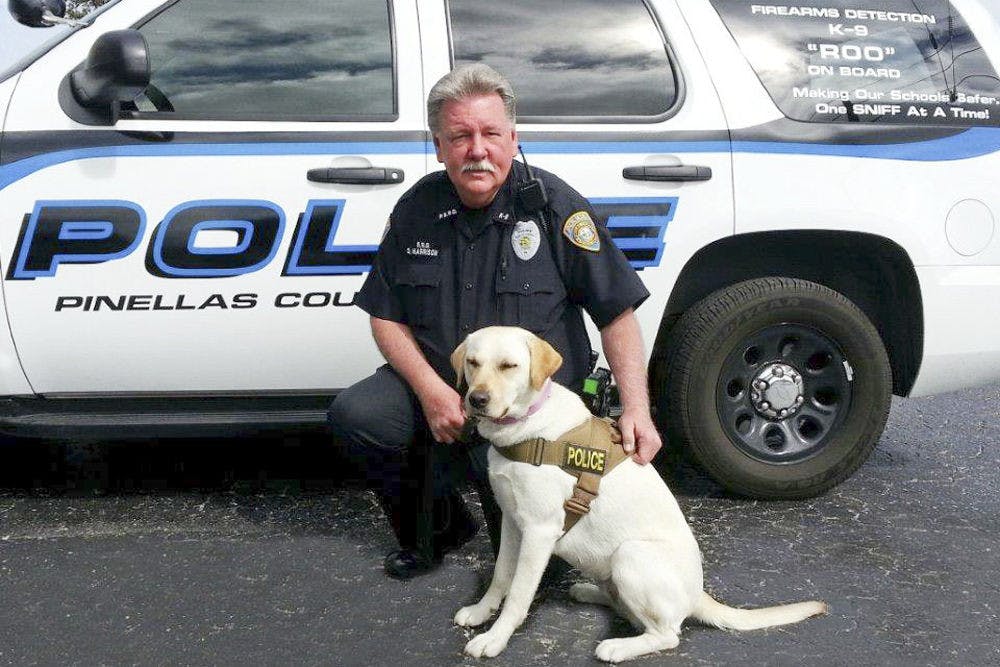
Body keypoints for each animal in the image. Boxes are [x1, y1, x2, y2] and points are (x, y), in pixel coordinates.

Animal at [450, 328, 824, 664]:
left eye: (509, 366)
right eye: (473, 362)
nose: (477, 400)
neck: (528, 428)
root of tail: (697, 594)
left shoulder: (539, 531)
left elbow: (518, 594)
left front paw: (495, 638)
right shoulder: (513, 523)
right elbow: (501, 576)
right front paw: (482, 611)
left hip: (630, 555)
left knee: (667, 634)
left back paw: (617, 647)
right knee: (626, 608)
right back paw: (589, 591)